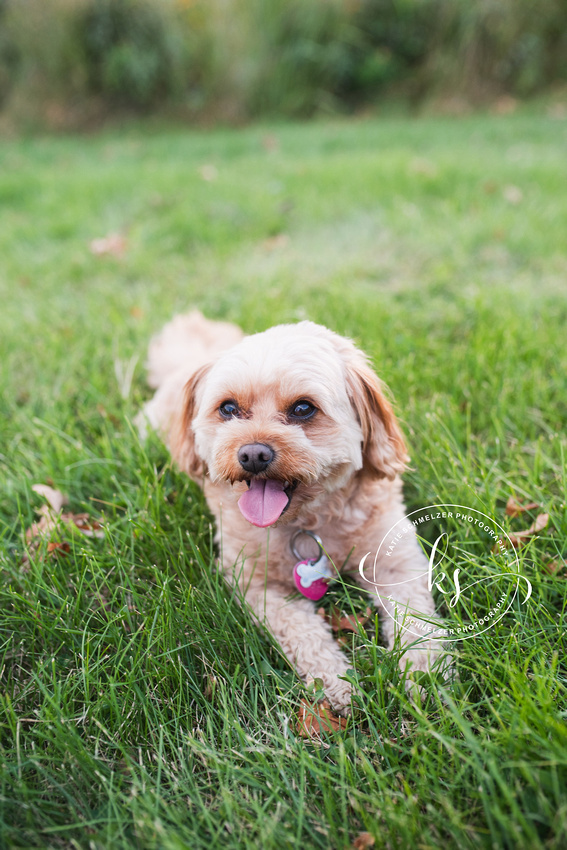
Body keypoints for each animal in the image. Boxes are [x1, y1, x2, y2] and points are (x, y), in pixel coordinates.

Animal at [140, 312, 446, 708]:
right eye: (228, 408)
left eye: (303, 408)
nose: (253, 454)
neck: (309, 520)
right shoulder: (258, 585)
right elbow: (303, 632)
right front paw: (336, 682)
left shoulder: (397, 561)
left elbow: (418, 620)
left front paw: (426, 675)